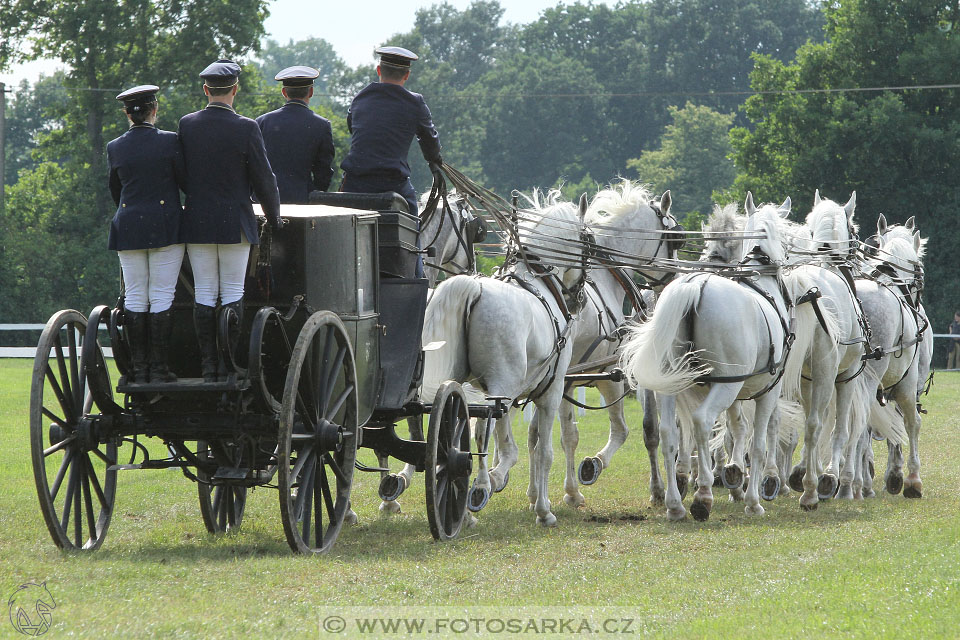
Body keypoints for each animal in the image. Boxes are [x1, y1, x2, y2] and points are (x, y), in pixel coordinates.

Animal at [424, 189, 588, 524]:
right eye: (587, 239)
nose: (579, 297)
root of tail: (474, 288)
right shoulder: (550, 390)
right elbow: (543, 451)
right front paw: (543, 510)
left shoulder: (510, 391)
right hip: (502, 386)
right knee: (482, 432)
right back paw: (480, 488)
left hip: (462, 383)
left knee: (461, 427)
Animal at [624, 195, 816, 520]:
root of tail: (694, 287)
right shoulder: (766, 390)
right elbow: (757, 443)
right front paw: (752, 499)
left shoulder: (736, 391)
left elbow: (736, 429)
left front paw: (735, 476)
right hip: (725, 385)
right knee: (701, 422)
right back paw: (702, 496)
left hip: (672, 386)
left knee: (668, 434)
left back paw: (675, 504)